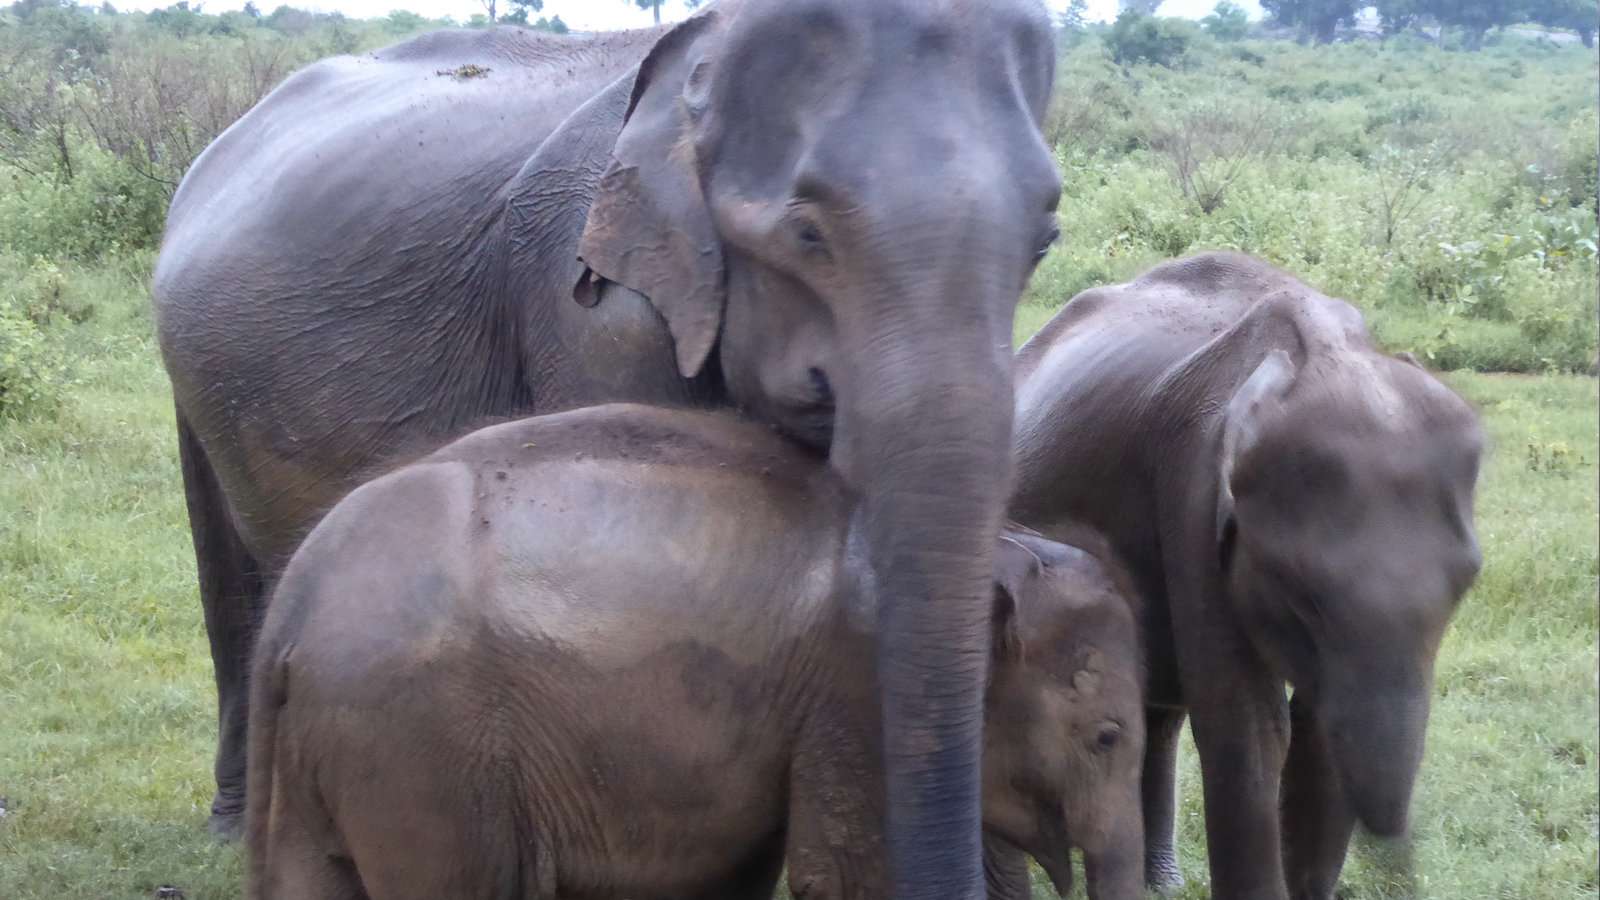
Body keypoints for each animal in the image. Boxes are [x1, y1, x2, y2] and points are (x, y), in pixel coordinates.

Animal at [150, 1, 1062, 890]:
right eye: (808, 233)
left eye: (1044, 241)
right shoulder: (591, 305)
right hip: (190, 383)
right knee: (228, 572)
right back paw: (231, 827)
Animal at [246, 400, 1152, 896]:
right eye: (1107, 738)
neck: (993, 553)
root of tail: (290, 604)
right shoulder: (857, 701)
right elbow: (851, 876)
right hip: (419, 745)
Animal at [1004, 253, 1478, 896]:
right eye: (1302, 596)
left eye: (1466, 584)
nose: (1401, 860)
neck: (1321, 352)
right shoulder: (1192, 487)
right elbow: (1247, 728)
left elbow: (1317, 739)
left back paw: (1164, 884)